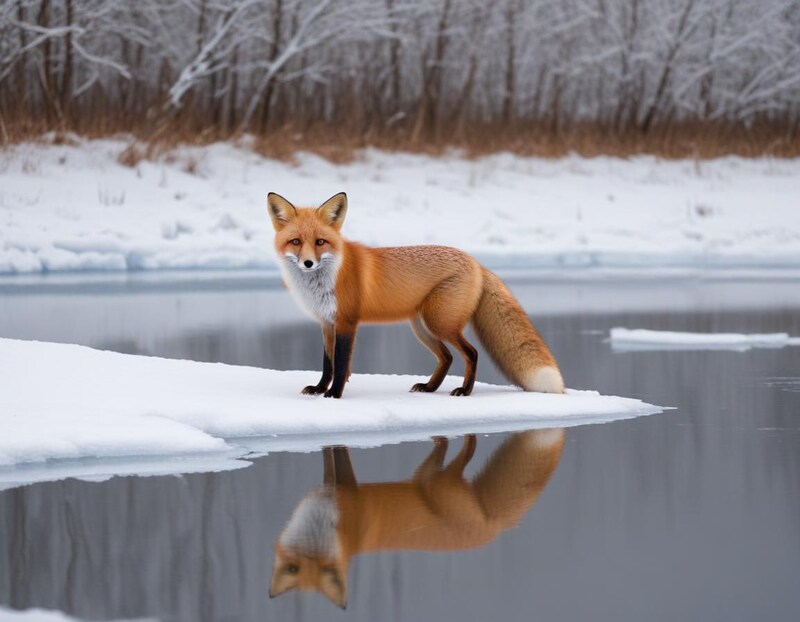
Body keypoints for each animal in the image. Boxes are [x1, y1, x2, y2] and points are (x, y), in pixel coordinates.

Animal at [267, 191, 563, 398]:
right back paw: (430, 388)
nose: (308, 263)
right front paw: (319, 390)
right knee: (447, 357)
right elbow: (328, 363)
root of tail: (476, 262)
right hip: (422, 327)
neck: (327, 277)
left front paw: (334, 394)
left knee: (471, 353)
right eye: (295, 242)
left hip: (440, 324)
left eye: (320, 242)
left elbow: (341, 365)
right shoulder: (327, 323)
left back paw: (465, 391)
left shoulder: (347, 322)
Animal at [269, 429, 566, 608]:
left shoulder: (345, 491)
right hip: (426, 474)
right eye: (295, 568)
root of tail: (495, 528)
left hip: (437, 481)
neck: (319, 527)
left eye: (322, 568)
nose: (311, 555)